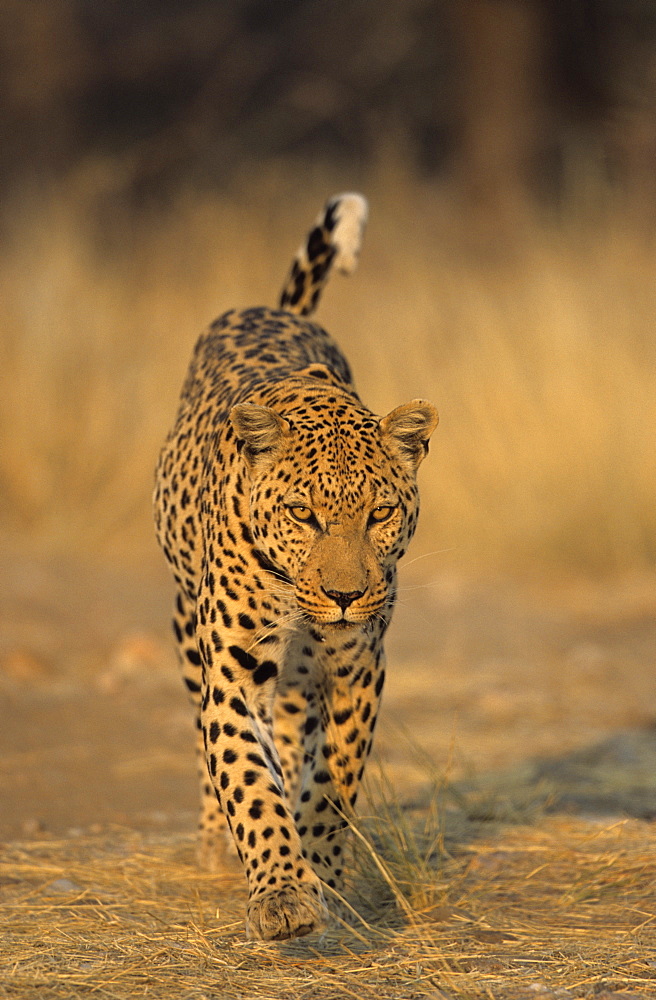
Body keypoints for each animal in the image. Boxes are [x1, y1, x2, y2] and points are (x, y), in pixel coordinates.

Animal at [154, 191, 438, 940]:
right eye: (302, 515)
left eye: (379, 513)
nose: (343, 596)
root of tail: (273, 308)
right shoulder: (232, 671)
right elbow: (250, 783)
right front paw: (281, 893)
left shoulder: (357, 668)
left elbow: (331, 781)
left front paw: (321, 874)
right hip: (187, 630)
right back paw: (215, 846)